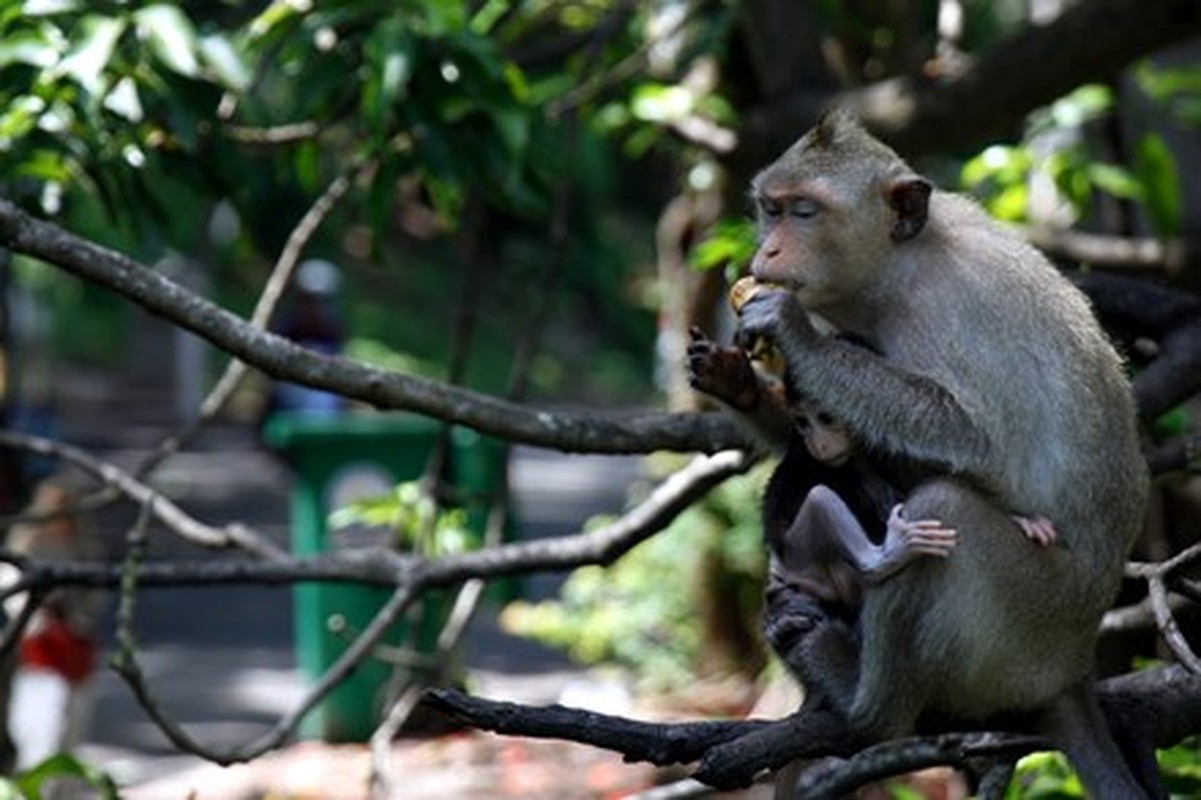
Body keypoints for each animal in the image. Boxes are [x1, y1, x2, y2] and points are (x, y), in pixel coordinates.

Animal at [735, 110, 1148, 792]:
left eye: (804, 212)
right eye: (770, 209)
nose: (766, 251)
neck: (903, 264)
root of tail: (1074, 667)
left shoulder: (953, 312)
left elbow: (973, 437)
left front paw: (796, 336)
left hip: (1030, 625)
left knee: (944, 507)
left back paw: (863, 703)